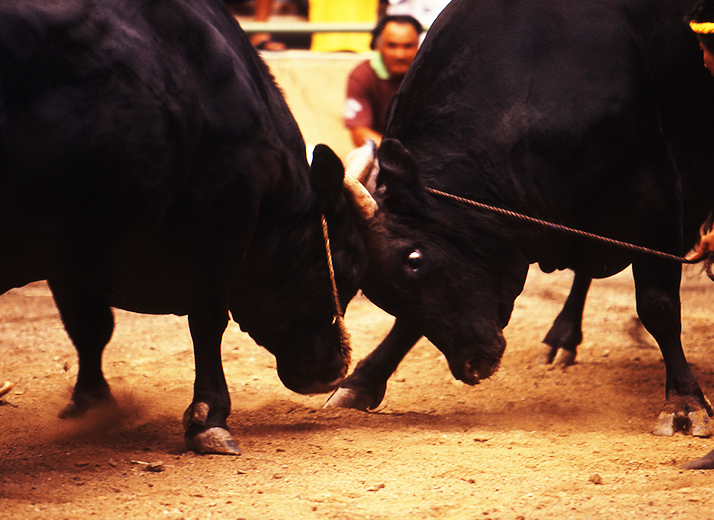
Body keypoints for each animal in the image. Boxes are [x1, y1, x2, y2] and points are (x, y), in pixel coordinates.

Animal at [1, 0, 372, 456]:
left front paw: (92, 402)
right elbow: (207, 322)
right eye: (350, 267)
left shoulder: (73, 249)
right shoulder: (219, 223)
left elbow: (88, 325)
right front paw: (208, 419)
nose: (332, 371)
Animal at [326, 0, 712, 460]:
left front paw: (685, 403)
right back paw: (562, 337)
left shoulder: (654, 198)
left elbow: (659, 306)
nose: (472, 364)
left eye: (414, 258)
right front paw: (361, 381)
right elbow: (409, 322)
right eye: (376, 290)